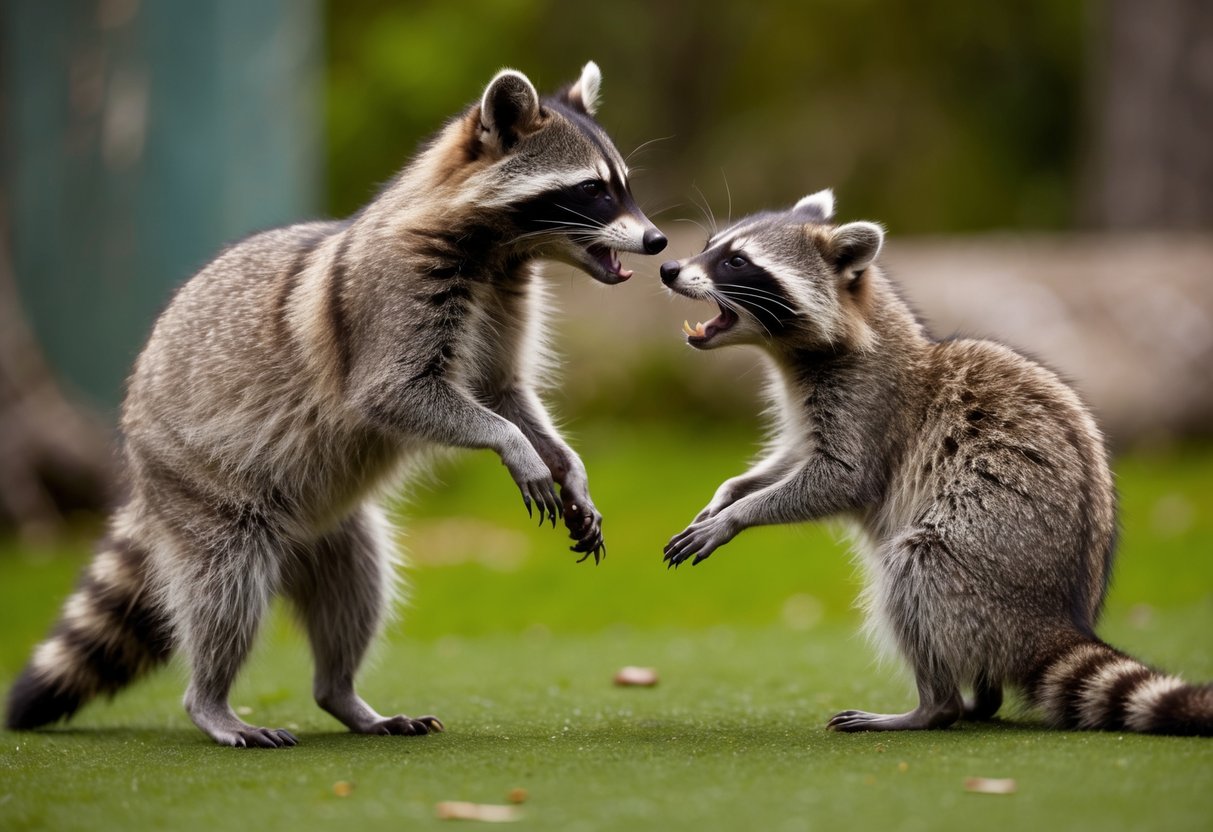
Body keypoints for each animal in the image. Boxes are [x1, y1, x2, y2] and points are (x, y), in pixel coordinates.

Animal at [6, 63, 667, 747]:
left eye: (622, 186)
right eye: (592, 190)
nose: (658, 240)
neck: (504, 251)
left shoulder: (506, 298)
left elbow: (504, 390)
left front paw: (564, 461)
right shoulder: (394, 291)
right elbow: (395, 392)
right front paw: (511, 444)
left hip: (334, 526)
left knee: (357, 590)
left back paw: (342, 694)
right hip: (198, 480)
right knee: (225, 584)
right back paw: (210, 699)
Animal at [659, 190, 1211, 735]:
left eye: (737, 262)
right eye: (711, 246)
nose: (668, 268)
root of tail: (1054, 622)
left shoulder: (869, 403)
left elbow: (841, 479)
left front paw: (738, 515)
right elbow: (792, 455)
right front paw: (733, 491)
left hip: (983, 556)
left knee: (915, 569)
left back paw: (934, 705)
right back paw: (980, 698)